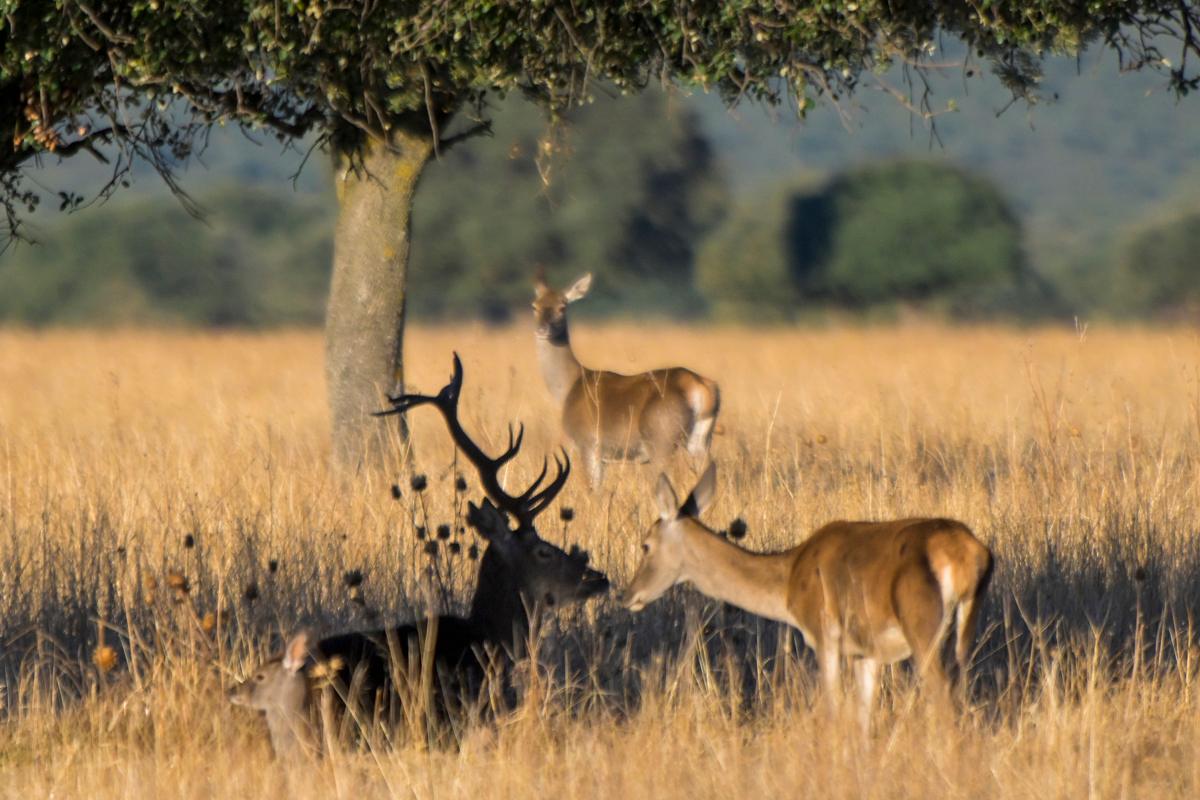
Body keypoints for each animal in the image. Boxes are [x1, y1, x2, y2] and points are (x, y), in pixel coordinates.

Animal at [535, 271, 720, 489]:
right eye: (535, 306)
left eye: (562, 306)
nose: (542, 329)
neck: (569, 386)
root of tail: (698, 386)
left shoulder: (588, 444)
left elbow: (595, 490)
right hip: (700, 440)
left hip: (661, 439)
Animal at [619, 462, 993, 734]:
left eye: (645, 544)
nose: (628, 594)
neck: (789, 580)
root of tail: (970, 556)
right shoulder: (866, 652)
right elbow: (862, 720)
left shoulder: (824, 636)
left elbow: (833, 711)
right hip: (963, 635)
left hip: (923, 630)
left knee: (945, 703)